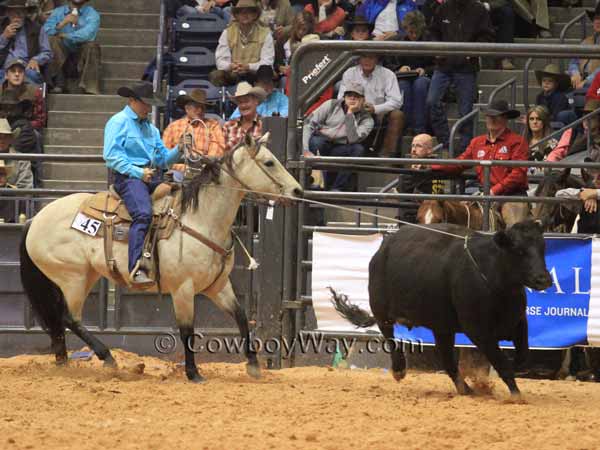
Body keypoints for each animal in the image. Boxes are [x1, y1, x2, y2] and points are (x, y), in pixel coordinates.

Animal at [20, 134, 302, 384]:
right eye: (269, 162)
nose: (297, 190)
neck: (201, 219)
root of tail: (35, 219)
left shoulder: (218, 286)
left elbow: (242, 317)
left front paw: (254, 367)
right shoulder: (183, 289)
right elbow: (187, 330)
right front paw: (193, 374)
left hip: (86, 275)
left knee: (62, 319)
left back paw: (64, 361)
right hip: (73, 276)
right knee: (69, 318)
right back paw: (107, 358)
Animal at [332, 220, 552, 396]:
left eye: (543, 248)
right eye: (518, 250)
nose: (543, 279)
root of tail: (382, 249)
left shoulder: (518, 321)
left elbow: (522, 355)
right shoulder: (479, 332)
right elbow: (502, 363)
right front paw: (516, 395)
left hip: (441, 327)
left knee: (448, 361)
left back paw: (466, 389)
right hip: (382, 311)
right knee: (391, 338)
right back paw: (399, 370)